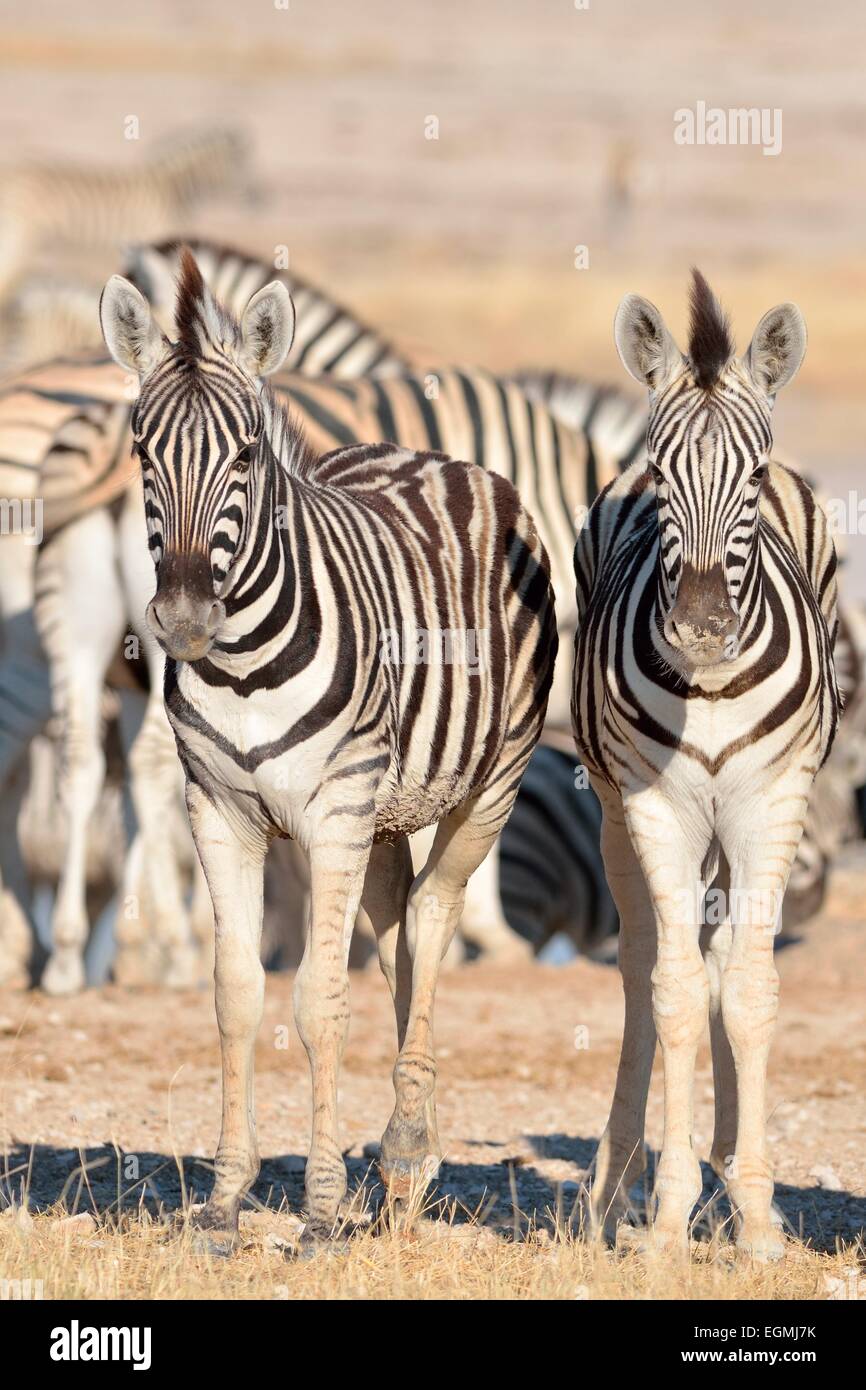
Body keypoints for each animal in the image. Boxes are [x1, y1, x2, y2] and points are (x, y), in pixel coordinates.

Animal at [97, 252, 558, 1251]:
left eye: (243, 455)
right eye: (143, 455)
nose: (183, 620)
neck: (242, 667)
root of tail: (437, 457)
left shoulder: (334, 809)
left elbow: (317, 1000)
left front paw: (315, 1207)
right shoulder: (217, 810)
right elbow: (237, 995)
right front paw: (226, 1198)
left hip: (485, 788)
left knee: (433, 919)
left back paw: (407, 1151)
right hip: (385, 816)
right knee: (396, 934)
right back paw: (406, 1157)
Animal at [575, 271, 839, 1262]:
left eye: (753, 478)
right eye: (660, 475)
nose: (699, 627)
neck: (713, 687)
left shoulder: (772, 800)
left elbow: (751, 992)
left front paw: (757, 1215)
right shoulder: (659, 807)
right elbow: (678, 992)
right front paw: (664, 1215)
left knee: (727, 958)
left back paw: (728, 1173)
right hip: (615, 810)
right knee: (643, 967)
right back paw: (613, 1189)